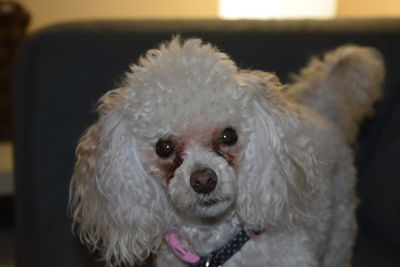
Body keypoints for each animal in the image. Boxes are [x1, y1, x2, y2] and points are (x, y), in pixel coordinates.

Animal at [69, 36, 384, 266]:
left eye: (229, 135)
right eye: (163, 147)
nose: (204, 181)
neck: (216, 247)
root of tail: (321, 110)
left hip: (340, 232)